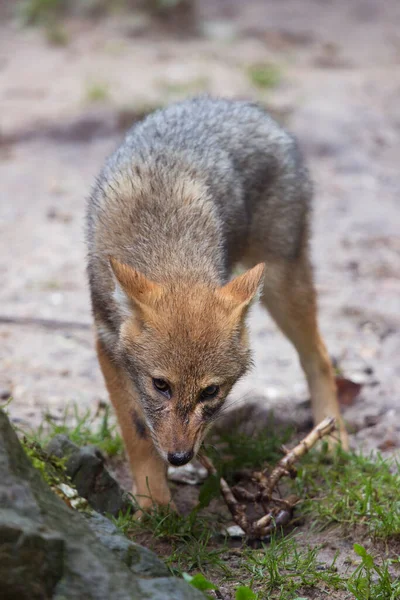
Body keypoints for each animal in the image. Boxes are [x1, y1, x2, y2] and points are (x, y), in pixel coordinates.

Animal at [86, 97, 346, 510]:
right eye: (161, 385)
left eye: (210, 392)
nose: (179, 457)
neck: (164, 238)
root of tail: (237, 104)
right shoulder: (107, 343)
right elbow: (139, 434)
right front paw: (154, 506)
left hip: (282, 286)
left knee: (319, 356)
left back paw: (333, 438)